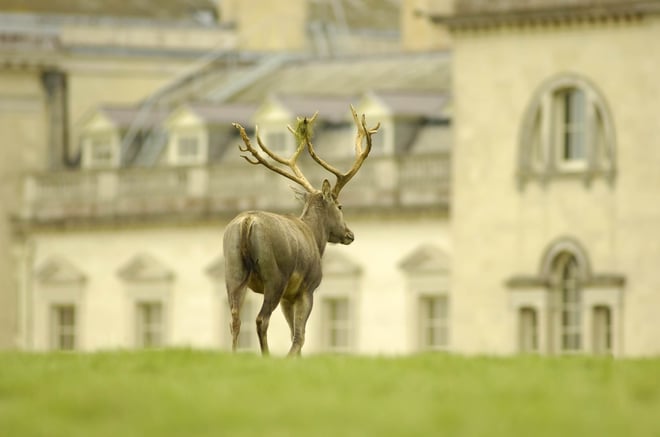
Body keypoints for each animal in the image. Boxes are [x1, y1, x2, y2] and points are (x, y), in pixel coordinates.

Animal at [223, 106, 379, 357]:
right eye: (340, 206)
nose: (350, 234)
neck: (316, 239)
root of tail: (247, 223)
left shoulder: (289, 296)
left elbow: (294, 334)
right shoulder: (307, 288)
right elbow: (300, 337)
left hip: (233, 269)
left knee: (235, 319)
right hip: (274, 274)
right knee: (261, 319)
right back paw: (266, 356)